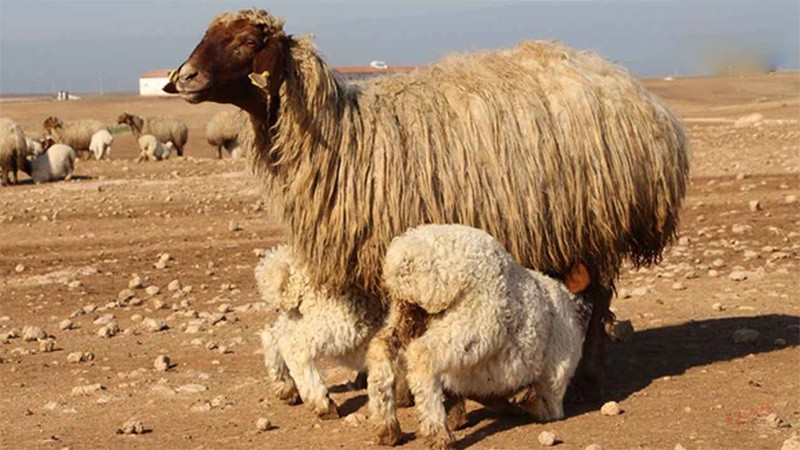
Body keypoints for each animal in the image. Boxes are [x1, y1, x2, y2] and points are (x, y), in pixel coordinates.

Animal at [166, 8, 692, 400]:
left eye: (246, 41)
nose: (182, 77)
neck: (346, 134)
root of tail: (643, 97)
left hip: (602, 225)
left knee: (598, 302)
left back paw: (590, 376)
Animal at [255, 246, 382, 418]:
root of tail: (295, 275)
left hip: (296, 315)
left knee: (273, 336)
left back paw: (285, 386)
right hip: (336, 317)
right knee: (296, 348)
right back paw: (322, 404)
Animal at [370, 225, 592, 450]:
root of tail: (408, 254)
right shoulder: (554, 381)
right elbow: (543, 408)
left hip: (407, 312)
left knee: (381, 348)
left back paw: (387, 428)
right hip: (472, 324)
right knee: (422, 355)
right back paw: (438, 434)